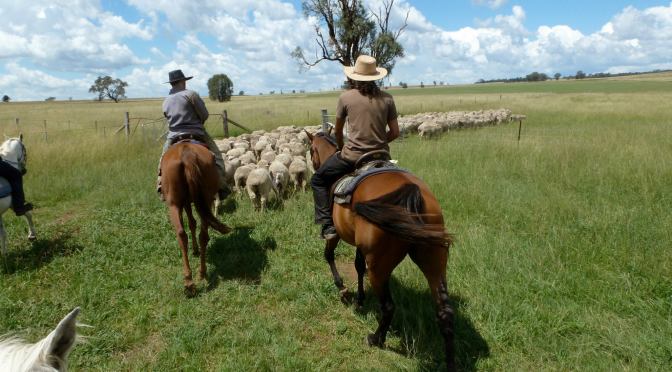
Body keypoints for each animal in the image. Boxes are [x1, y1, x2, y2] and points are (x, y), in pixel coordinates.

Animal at [161, 141, 232, 294]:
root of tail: (186, 153)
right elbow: (192, 223)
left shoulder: (185, 202)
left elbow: (191, 223)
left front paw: (194, 249)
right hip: (203, 200)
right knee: (198, 235)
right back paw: (196, 277)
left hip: (174, 204)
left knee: (185, 234)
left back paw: (194, 278)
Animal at [306, 132, 456, 370]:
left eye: (311, 150)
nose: (314, 164)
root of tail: (410, 193)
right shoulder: (360, 247)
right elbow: (358, 266)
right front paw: (359, 299)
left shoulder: (336, 234)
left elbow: (329, 255)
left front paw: (343, 289)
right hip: (434, 261)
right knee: (445, 314)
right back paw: (451, 362)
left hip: (379, 267)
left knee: (388, 307)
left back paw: (376, 339)